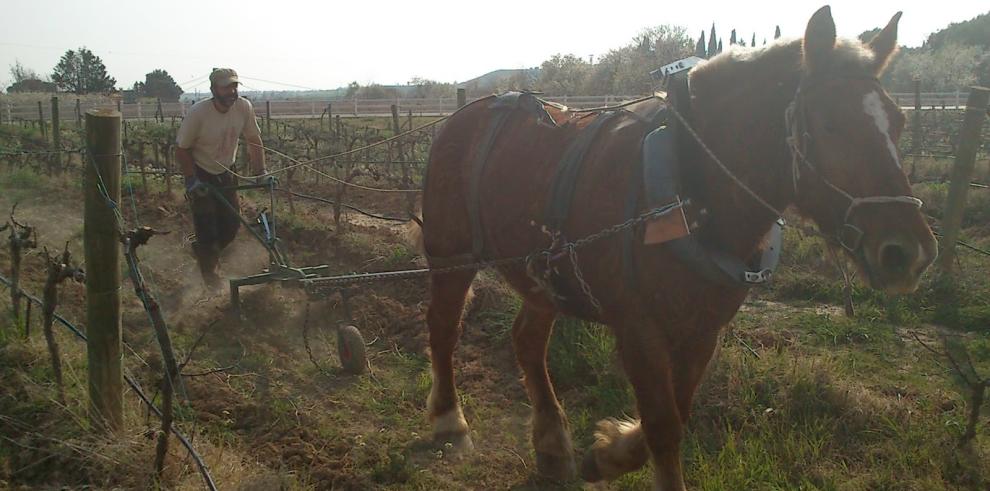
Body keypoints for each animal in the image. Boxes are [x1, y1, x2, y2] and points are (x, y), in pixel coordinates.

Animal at [416, 5, 936, 490]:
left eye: (898, 122)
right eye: (829, 125)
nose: (908, 252)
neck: (691, 187)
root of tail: (464, 115)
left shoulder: (703, 331)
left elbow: (672, 417)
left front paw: (606, 454)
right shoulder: (639, 331)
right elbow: (663, 427)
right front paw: (613, 452)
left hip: (545, 275)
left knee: (527, 341)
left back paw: (551, 443)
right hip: (452, 254)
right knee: (444, 326)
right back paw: (450, 421)